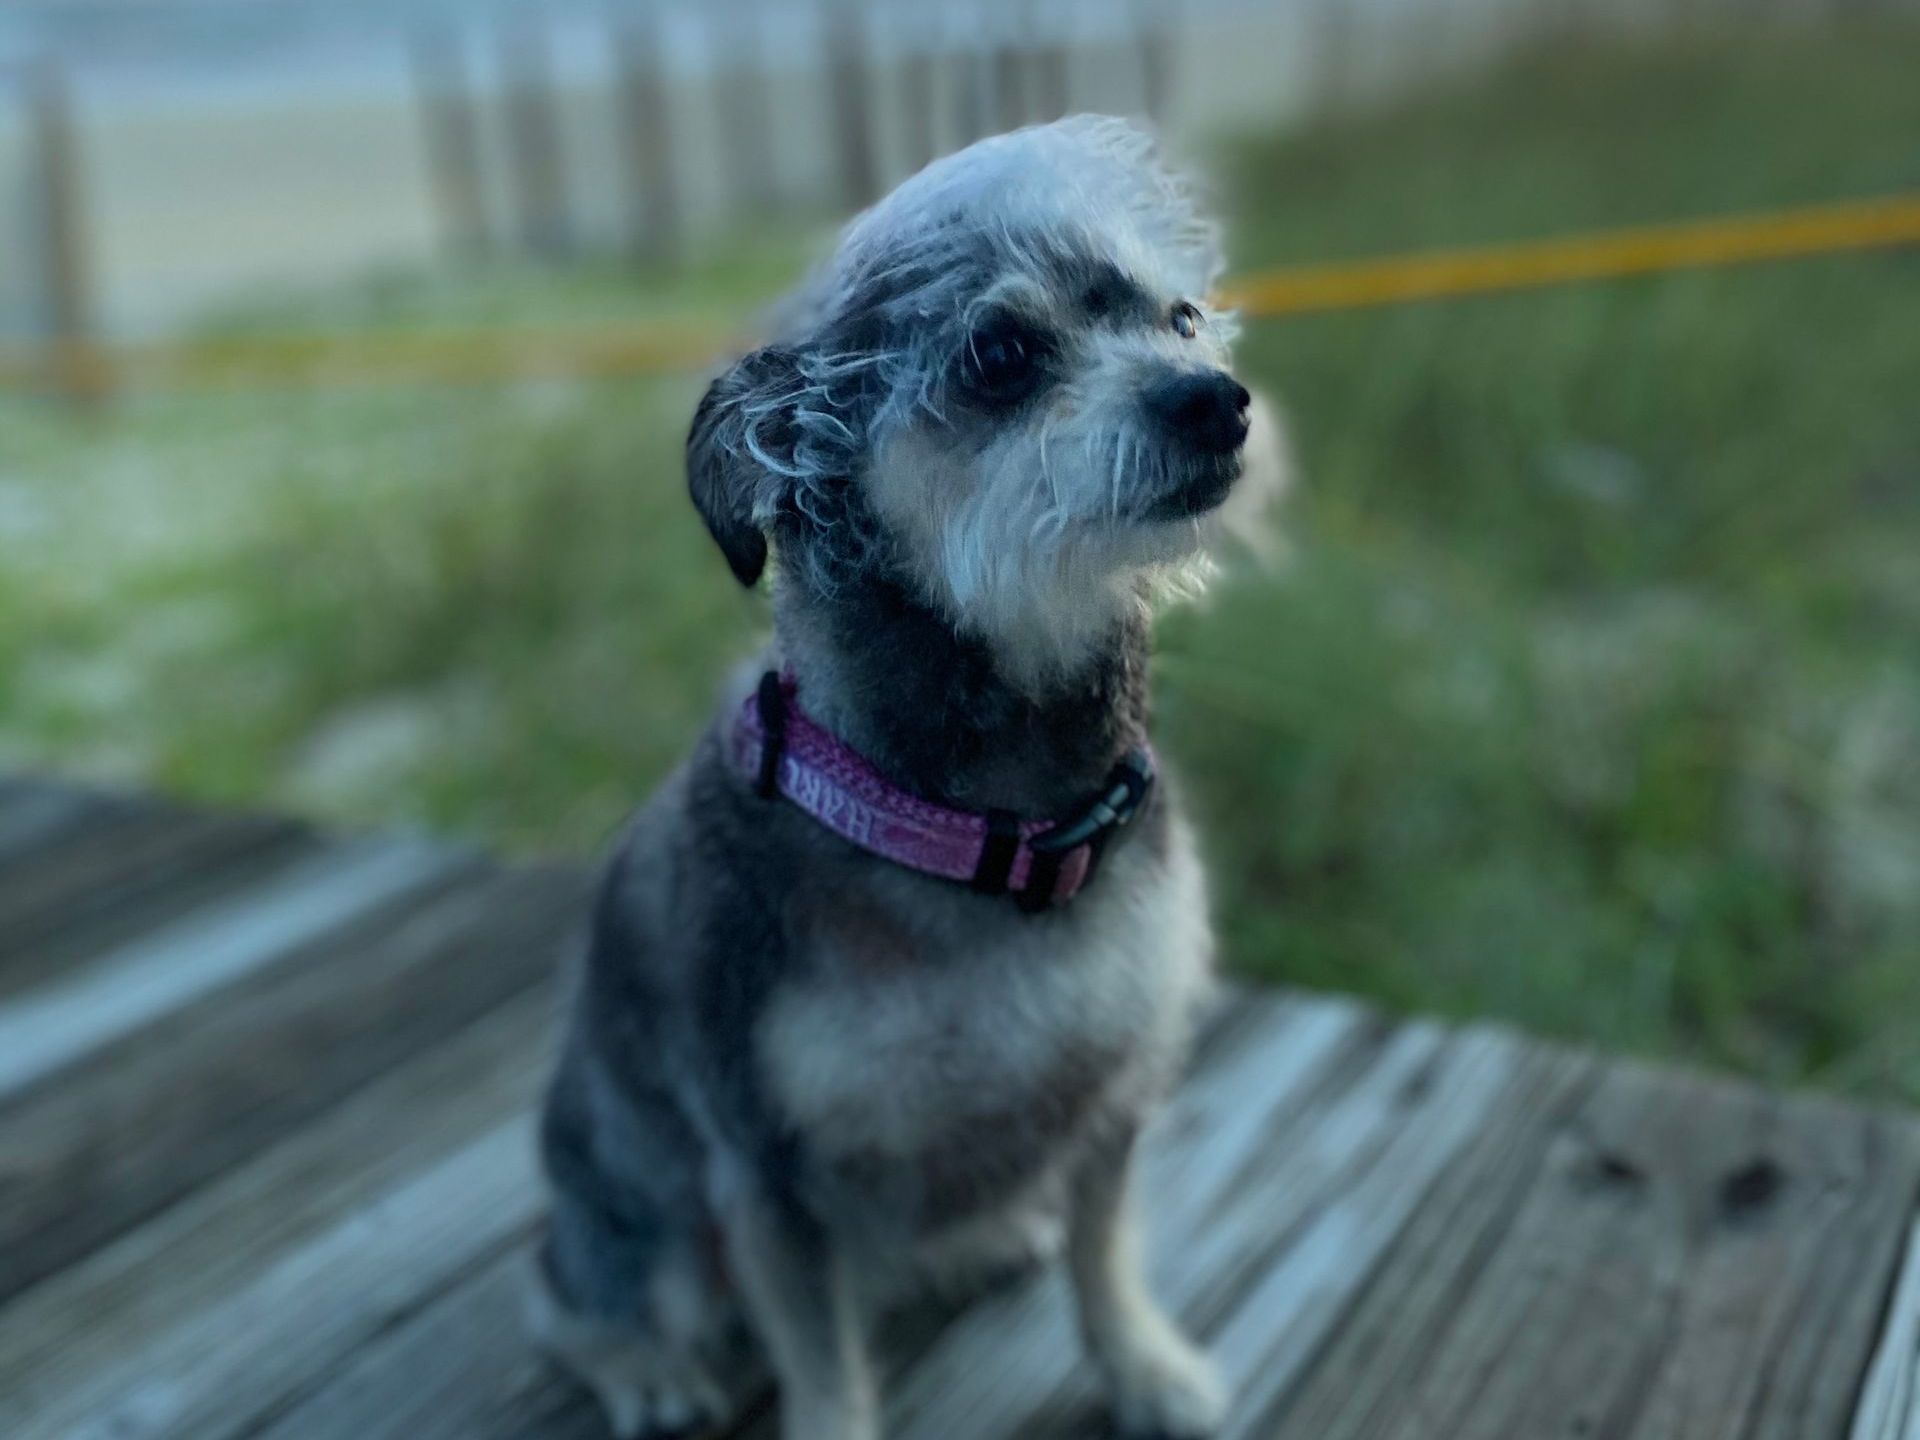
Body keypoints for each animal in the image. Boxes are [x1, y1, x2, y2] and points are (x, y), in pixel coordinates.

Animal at [529, 115, 1290, 1440]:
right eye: (1000, 351)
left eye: (1182, 318)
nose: (1219, 402)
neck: (983, 829)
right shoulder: (768, 1179)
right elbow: (824, 1369)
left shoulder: (1113, 1099)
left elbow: (1106, 1256)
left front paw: (1143, 1367)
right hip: (644, 1224)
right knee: (566, 1299)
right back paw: (648, 1370)